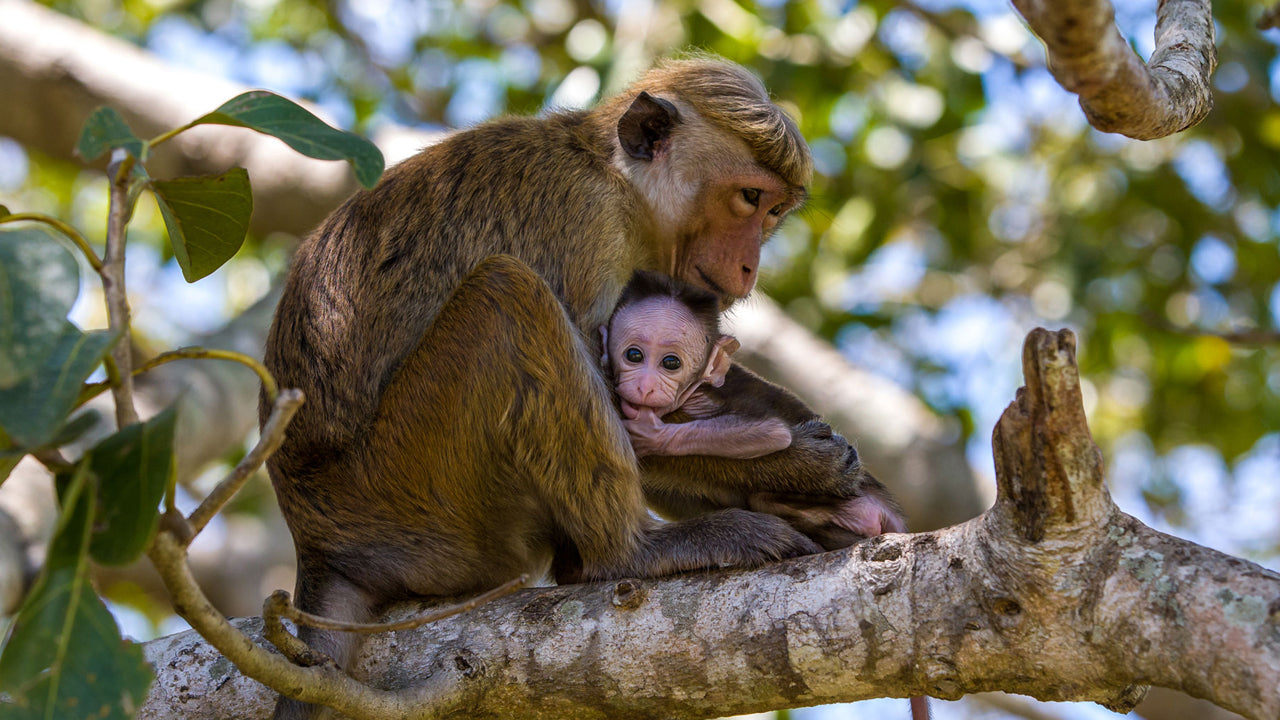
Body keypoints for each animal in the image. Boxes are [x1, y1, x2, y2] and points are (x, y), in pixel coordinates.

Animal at [263, 57, 875, 717]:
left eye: (773, 212)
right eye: (750, 197)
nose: (749, 267)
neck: (617, 181)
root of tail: (318, 548)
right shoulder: (587, 226)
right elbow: (622, 405)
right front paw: (802, 467)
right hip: (408, 495)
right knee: (506, 297)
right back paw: (630, 553)